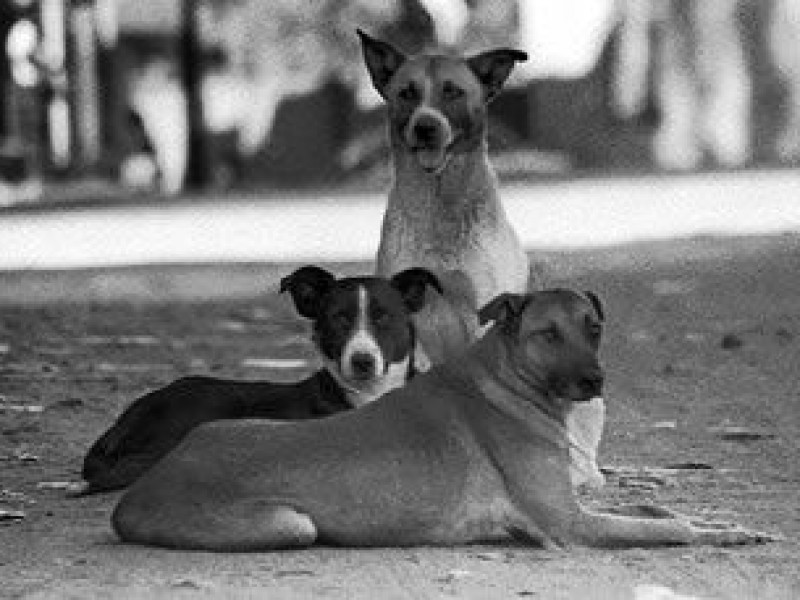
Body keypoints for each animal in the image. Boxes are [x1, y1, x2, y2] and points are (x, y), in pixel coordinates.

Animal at [111, 288, 768, 552]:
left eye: (593, 327)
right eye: (547, 334)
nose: (594, 381)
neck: (509, 382)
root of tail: (136, 494)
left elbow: (659, 506)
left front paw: (730, 523)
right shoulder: (571, 525)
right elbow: (671, 525)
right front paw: (720, 533)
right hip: (291, 524)